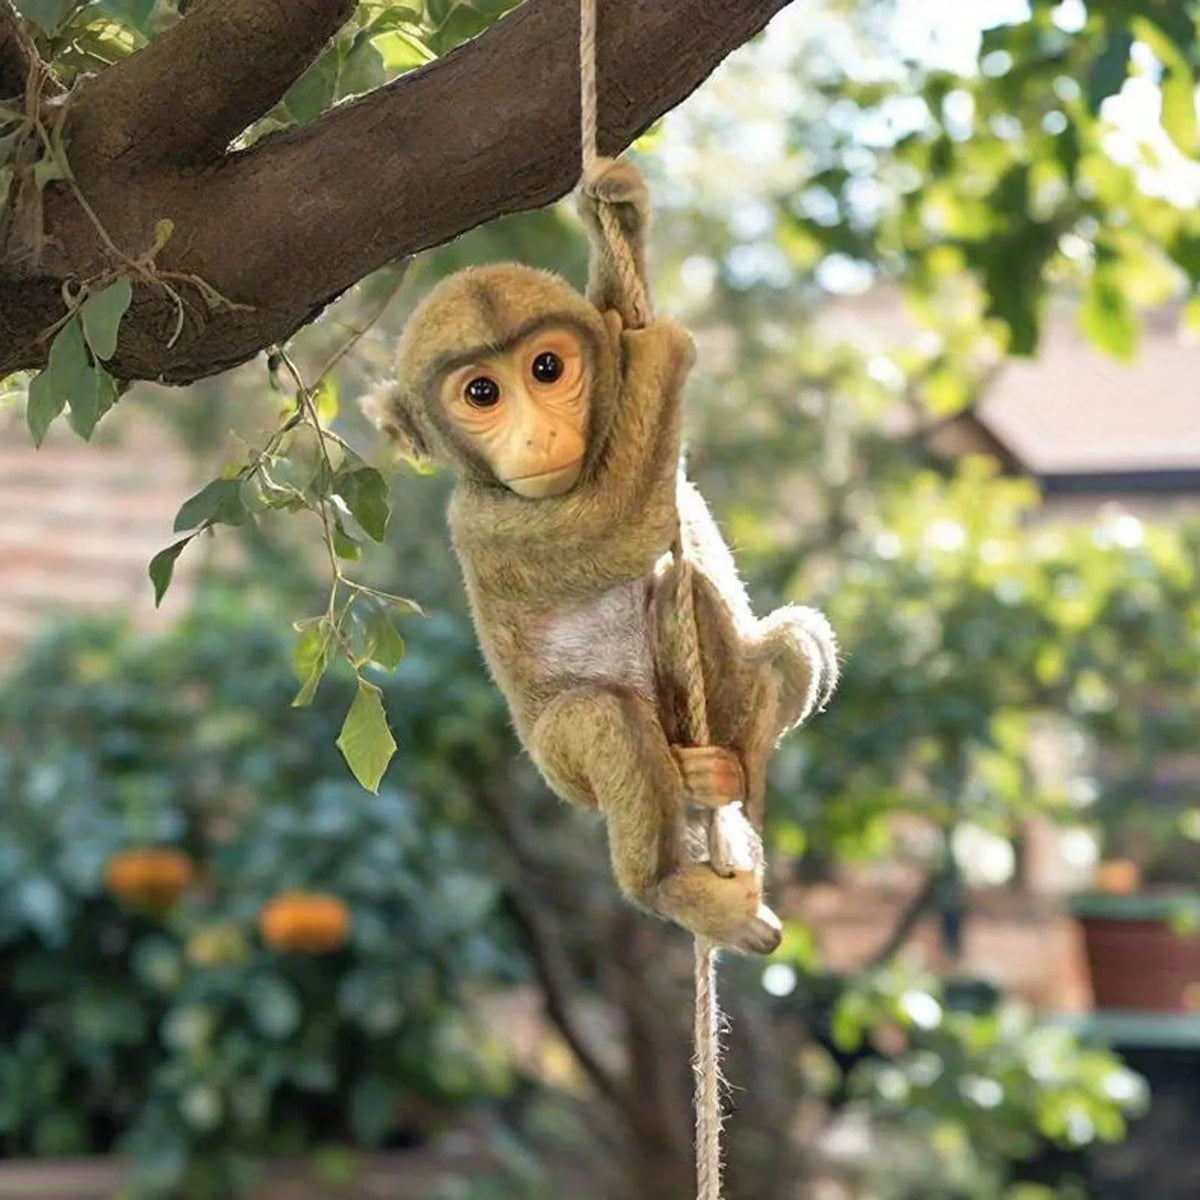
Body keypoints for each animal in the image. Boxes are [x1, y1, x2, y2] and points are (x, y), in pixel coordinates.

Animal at [368, 157, 838, 954]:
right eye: (482, 392)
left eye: (547, 369)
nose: (538, 434)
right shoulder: (485, 525)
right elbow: (624, 524)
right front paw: (660, 352)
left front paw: (615, 212)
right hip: (561, 768)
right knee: (602, 718)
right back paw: (669, 885)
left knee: (763, 630)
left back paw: (734, 774)